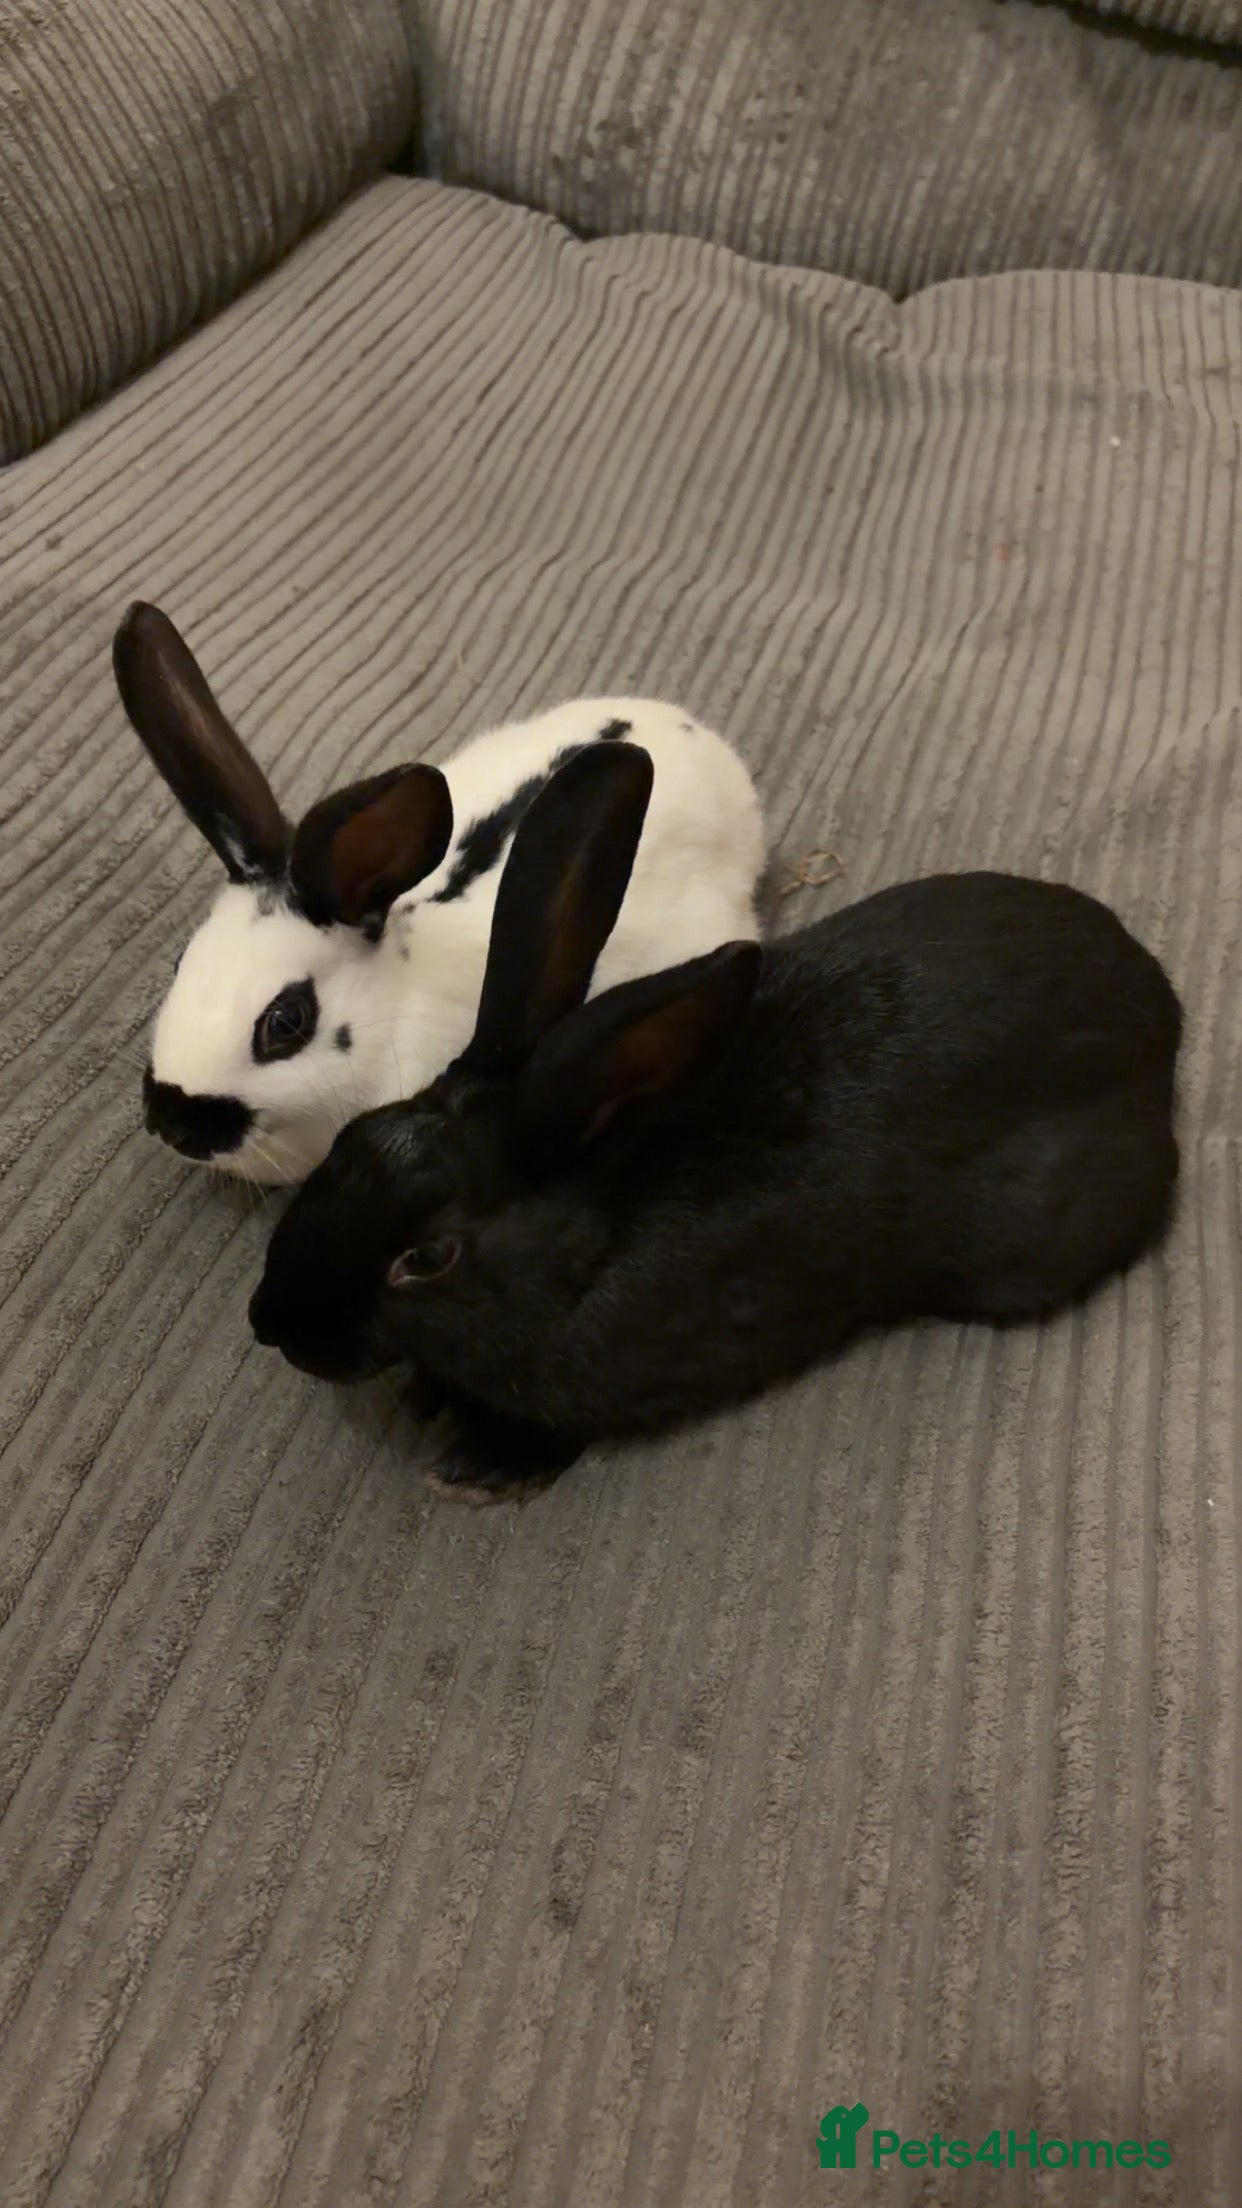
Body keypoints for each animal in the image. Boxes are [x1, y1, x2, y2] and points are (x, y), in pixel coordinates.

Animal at [248, 740, 1182, 1500]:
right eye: (347, 1140)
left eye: (427, 1258)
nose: (272, 1326)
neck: (580, 1252)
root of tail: (1159, 1009)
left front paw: (482, 1468)